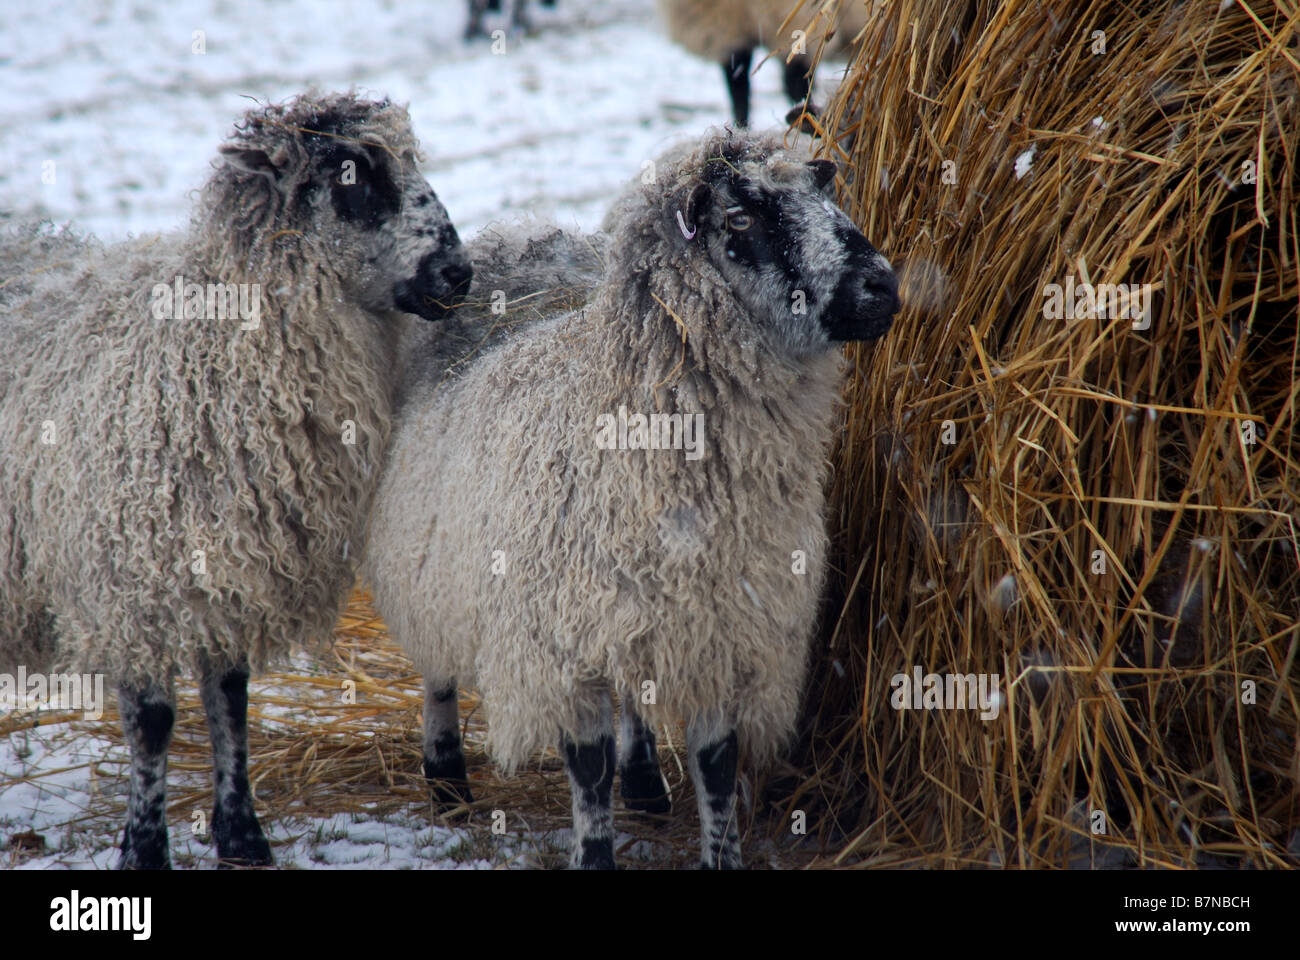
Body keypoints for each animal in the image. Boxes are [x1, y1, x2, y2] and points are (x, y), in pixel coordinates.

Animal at [0, 91, 473, 869]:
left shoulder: (224, 567)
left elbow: (231, 700)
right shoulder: (133, 580)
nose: (458, 275)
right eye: (353, 178)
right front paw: (144, 849)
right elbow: (155, 722)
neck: (217, 353)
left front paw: (243, 835)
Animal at [362, 127, 899, 868]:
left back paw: (644, 781)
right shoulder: (563, 644)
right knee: (437, 664)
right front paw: (594, 851)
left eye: (826, 193)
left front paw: (719, 852)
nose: (882, 286)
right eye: (741, 220)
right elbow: (589, 771)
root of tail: (521, 234)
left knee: (635, 701)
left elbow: (717, 765)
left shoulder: (720, 624)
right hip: (429, 555)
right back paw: (446, 780)